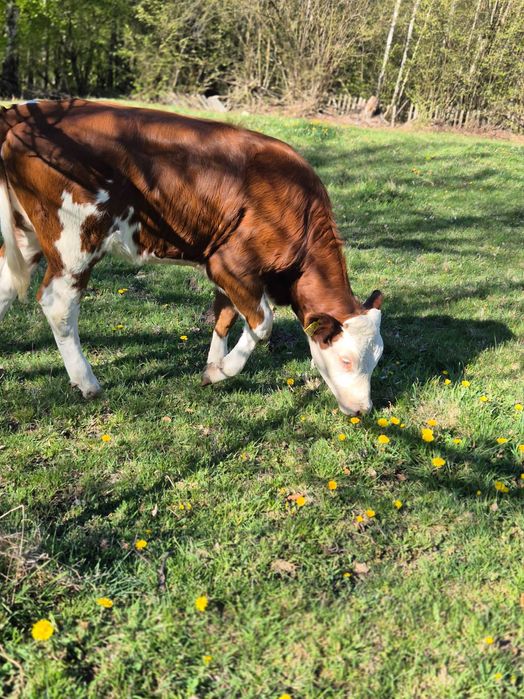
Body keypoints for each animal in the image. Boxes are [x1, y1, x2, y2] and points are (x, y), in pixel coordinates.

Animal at [0, 100, 383, 415]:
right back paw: (87, 382)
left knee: (5, 287)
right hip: (75, 239)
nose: (364, 409)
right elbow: (262, 324)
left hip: (26, 233)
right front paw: (224, 370)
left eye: (376, 358)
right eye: (346, 360)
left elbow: (224, 317)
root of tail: (22, 113)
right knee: (58, 304)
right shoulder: (231, 264)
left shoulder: (227, 269)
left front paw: (211, 368)